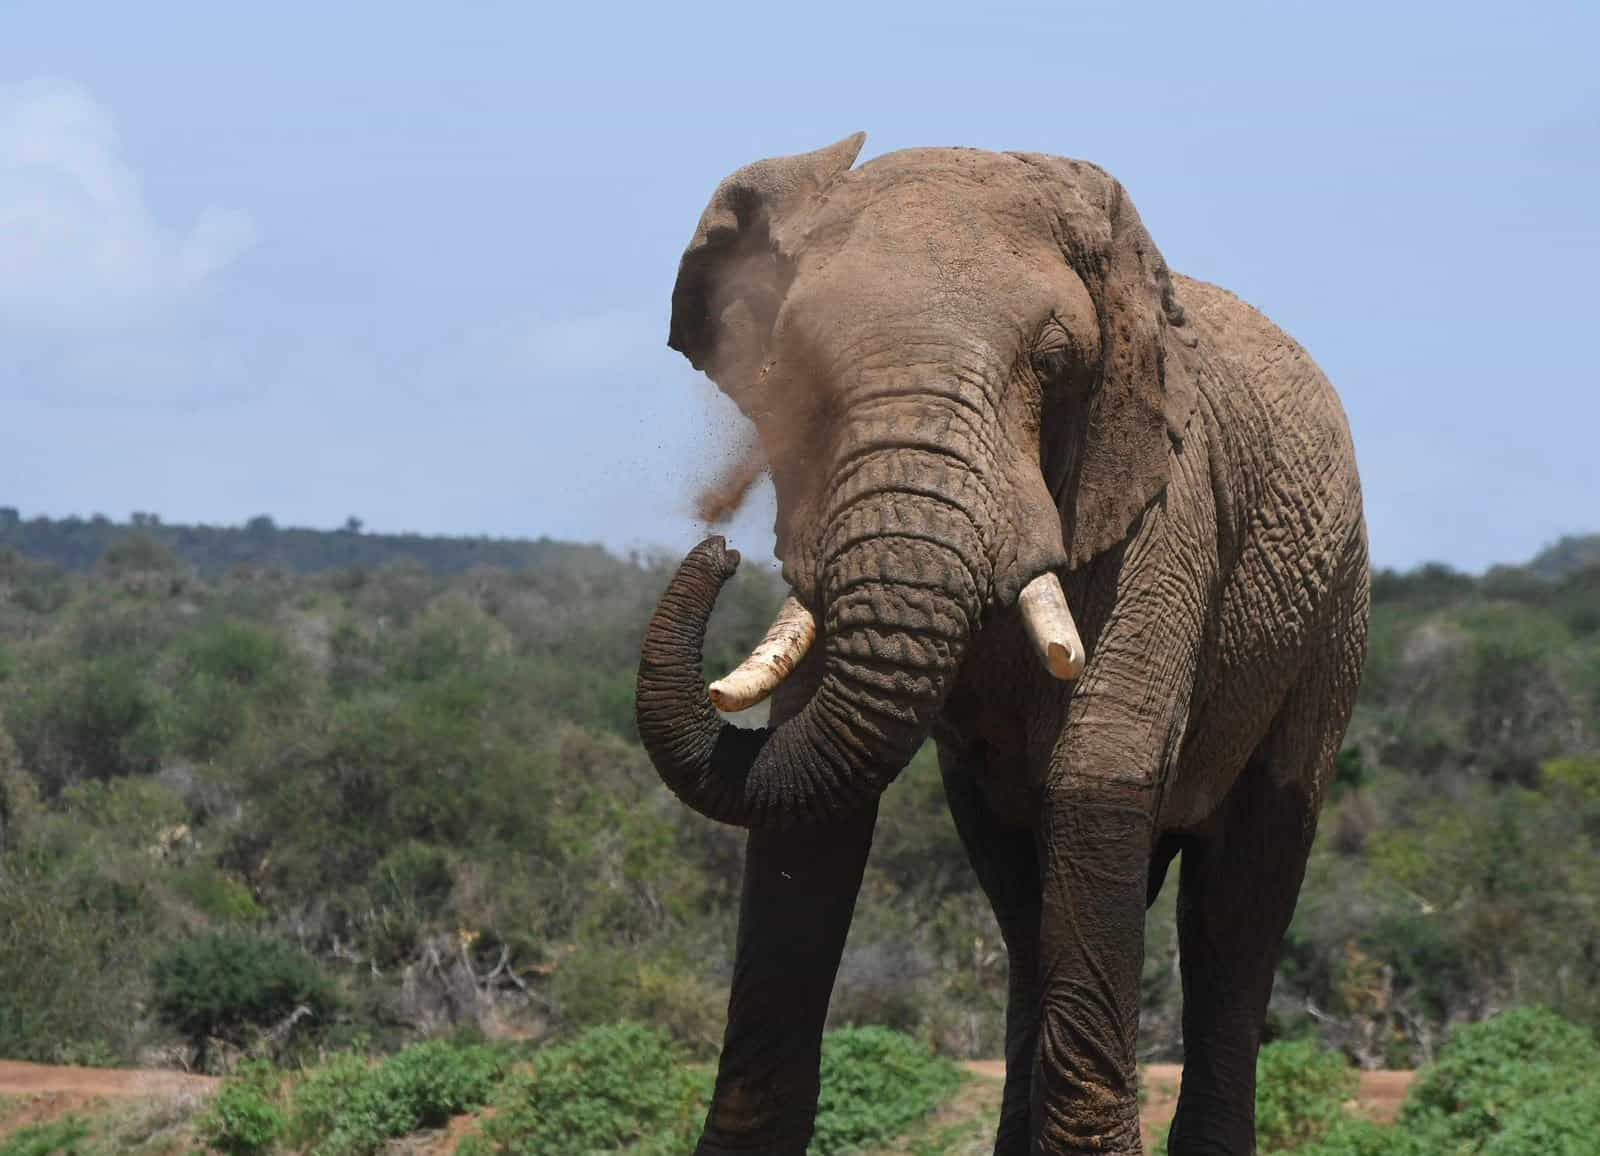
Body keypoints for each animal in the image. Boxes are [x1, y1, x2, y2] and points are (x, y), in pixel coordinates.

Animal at [635, 133, 1369, 1155]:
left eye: (1055, 364)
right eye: (791, 371)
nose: (718, 549)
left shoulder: (1166, 505)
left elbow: (1099, 772)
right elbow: (806, 811)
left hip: (1333, 615)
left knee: (1242, 898)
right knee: (1022, 896)